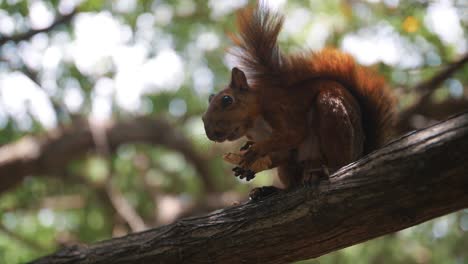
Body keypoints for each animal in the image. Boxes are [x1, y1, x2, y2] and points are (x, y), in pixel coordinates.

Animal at [201, 3, 394, 200]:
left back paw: (325, 170)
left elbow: (294, 133)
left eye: (227, 100)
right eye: (202, 117)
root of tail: (360, 152)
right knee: (292, 181)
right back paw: (269, 191)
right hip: (293, 167)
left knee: (338, 160)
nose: (211, 134)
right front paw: (248, 167)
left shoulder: (280, 108)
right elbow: (282, 153)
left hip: (333, 118)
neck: (255, 124)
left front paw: (256, 150)